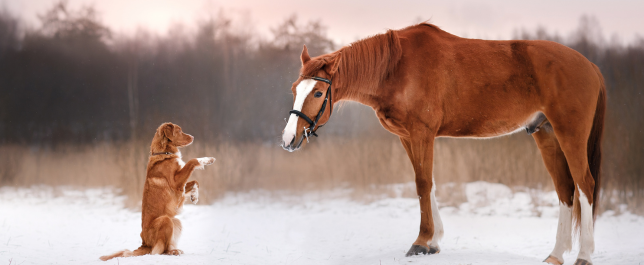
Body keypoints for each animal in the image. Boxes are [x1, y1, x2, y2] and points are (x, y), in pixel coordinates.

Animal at [100, 122, 215, 260]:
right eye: (179, 130)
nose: (192, 137)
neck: (165, 152)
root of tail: (144, 244)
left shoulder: (179, 186)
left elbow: (195, 182)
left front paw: (194, 196)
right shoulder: (176, 183)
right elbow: (192, 161)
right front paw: (208, 159)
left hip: (175, 221)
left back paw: (175, 250)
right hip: (165, 220)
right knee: (159, 251)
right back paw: (172, 252)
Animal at [280, 23, 604, 264]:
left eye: (318, 93)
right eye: (295, 89)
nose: (288, 139)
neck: (396, 68)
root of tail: (590, 65)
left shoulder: (421, 133)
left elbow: (423, 183)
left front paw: (421, 242)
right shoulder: (408, 137)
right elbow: (427, 183)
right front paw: (433, 242)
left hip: (570, 133)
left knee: (584, 184)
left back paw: (585, 255)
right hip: (545, 133)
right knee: (565, 190)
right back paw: (556, 255)